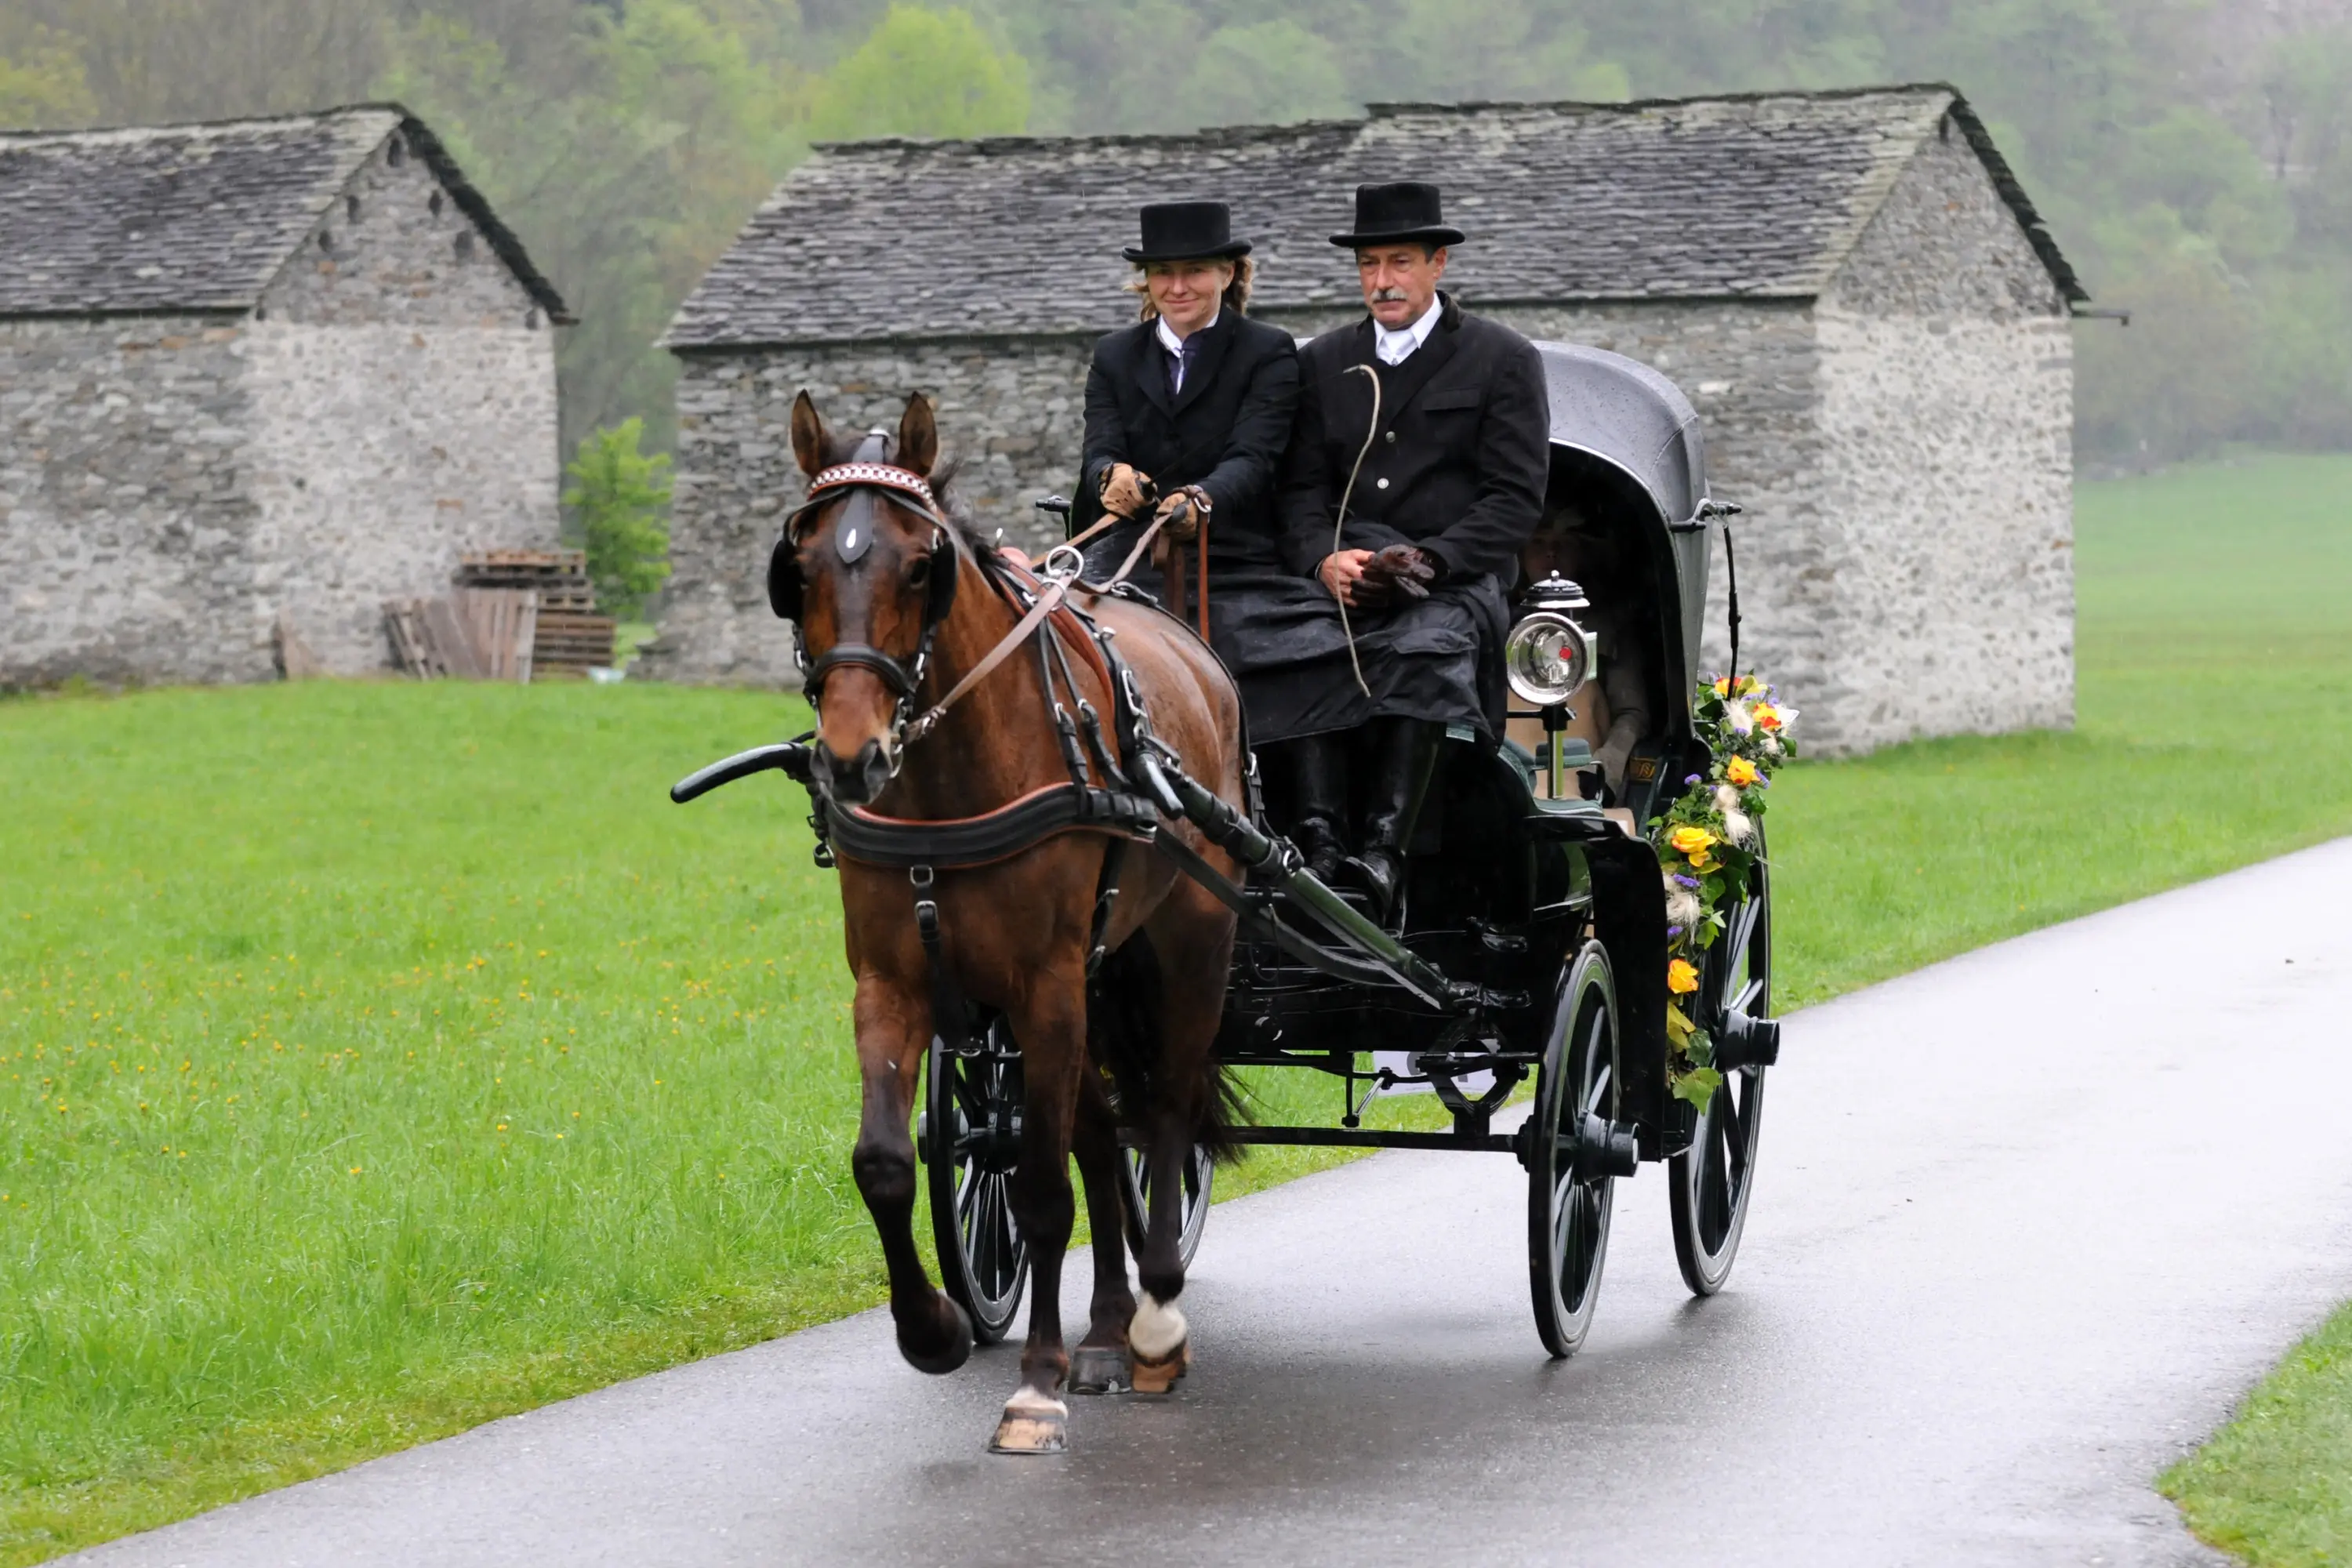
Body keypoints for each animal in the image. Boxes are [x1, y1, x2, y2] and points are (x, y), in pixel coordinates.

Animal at [777, 389, 1246, 1453]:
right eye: (801, 565)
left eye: (921, 564)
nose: (854, 757)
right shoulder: (894, 983)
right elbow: (884, 1162)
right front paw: (934, 1329)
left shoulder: (1043, 985)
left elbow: (1037, 1189)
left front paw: (1036, 1386)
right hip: (1094, 981)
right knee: (1100, 1130)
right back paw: (1107, 1331)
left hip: (1188, 943)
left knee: (1163, 1112)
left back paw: (1155, 1318)